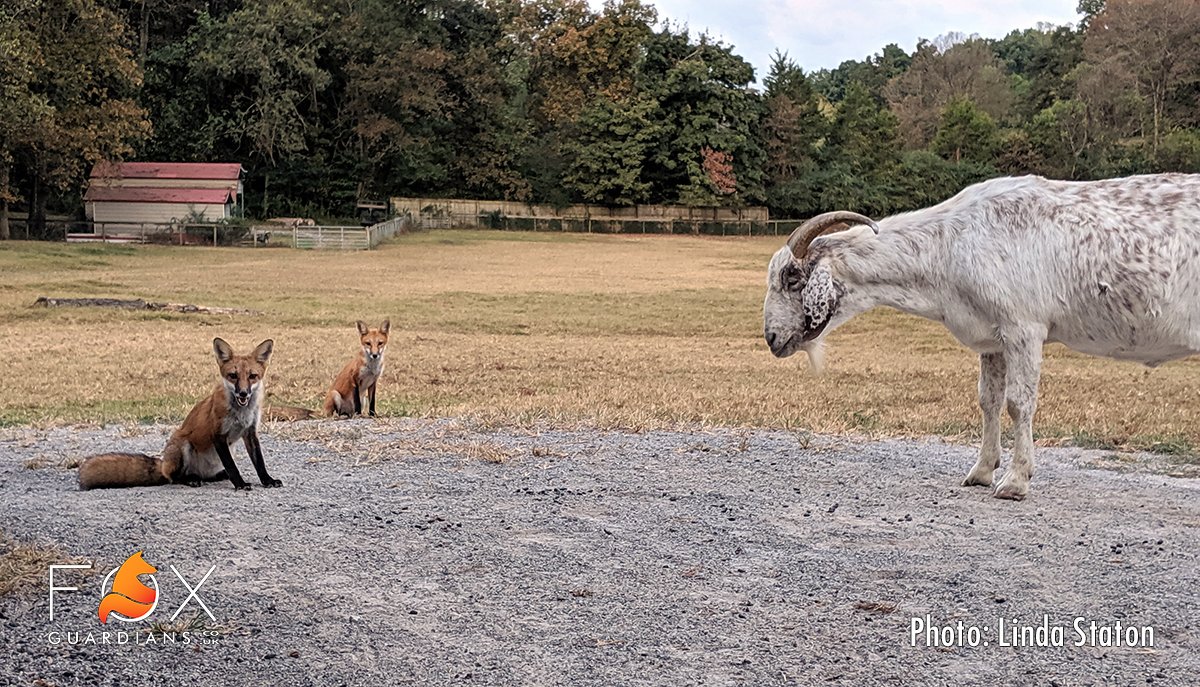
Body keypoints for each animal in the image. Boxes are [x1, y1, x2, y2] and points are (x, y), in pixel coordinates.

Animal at [77, 338, 282, 492]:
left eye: (252, 376)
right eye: (233, 376)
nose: (243, 394)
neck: (241, 412)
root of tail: (163, 464)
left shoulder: (250, 432)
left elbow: (259, 462)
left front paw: (267, 480)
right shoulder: (217, 434)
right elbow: (232, 467)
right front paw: (239, 484)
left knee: (210, 475)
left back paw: (215, 476)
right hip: (182, 444)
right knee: (175, 477)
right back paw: (190, 479)